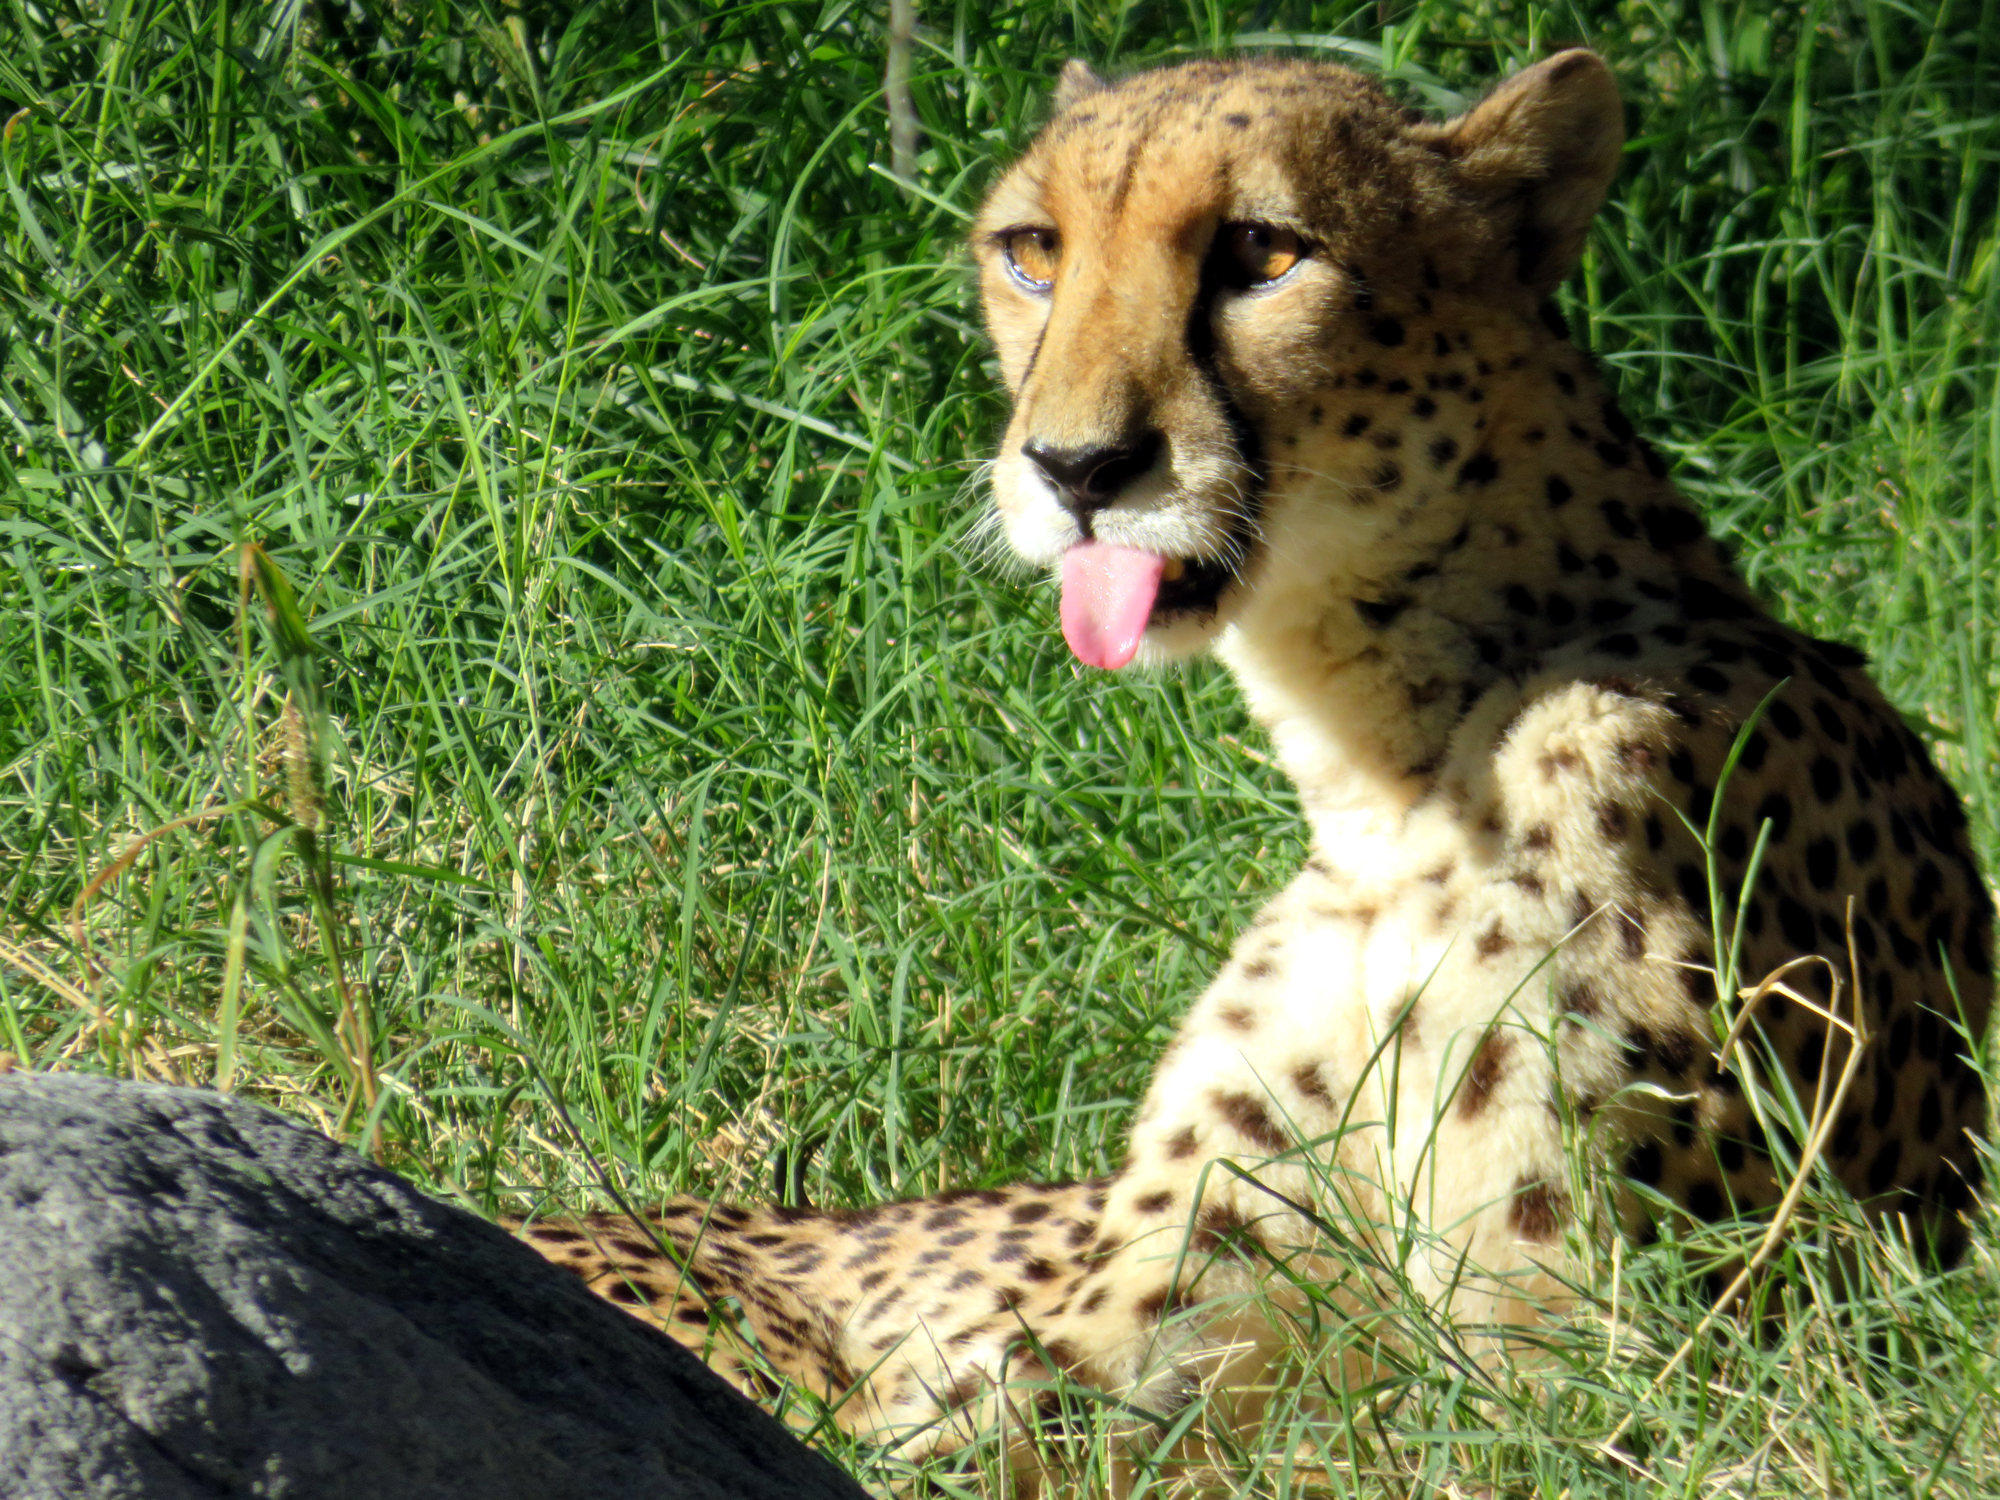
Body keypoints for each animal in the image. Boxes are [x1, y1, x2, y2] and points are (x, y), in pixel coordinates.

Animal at [511, 47, 1992, 1467]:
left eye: (1264, 254)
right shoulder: (1139, 1343)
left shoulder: (1621, 1374)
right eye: (1033, 250)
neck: (1391, 765)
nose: (1078, 467)